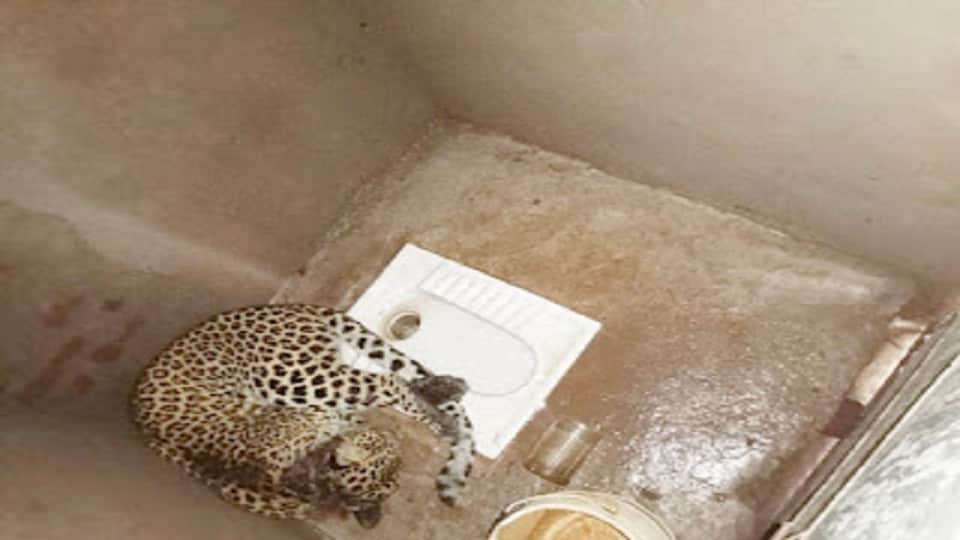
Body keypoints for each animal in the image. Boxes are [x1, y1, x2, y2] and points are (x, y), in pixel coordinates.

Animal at [131, 304, 475, 528]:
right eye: (392, 460)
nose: (388, 438)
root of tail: (293, 306)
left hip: (296, 379)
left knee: (385, 381)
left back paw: (447, 397)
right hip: (296, 381)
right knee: (386, 382)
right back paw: (445, 411)